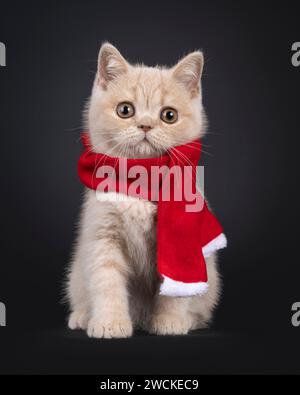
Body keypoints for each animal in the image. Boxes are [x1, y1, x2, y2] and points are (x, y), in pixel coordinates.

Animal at [67, 44, 220, 340]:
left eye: (169, 115)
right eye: (125, 110)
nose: (146, 125)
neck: (141, 179)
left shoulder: (178, 245)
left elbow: (175, 289)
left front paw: (170, 322)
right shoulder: (103, 235)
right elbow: (107, 282)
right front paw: (110, 323)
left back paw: (186, 320)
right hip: (77, 274)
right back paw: (83, 316)